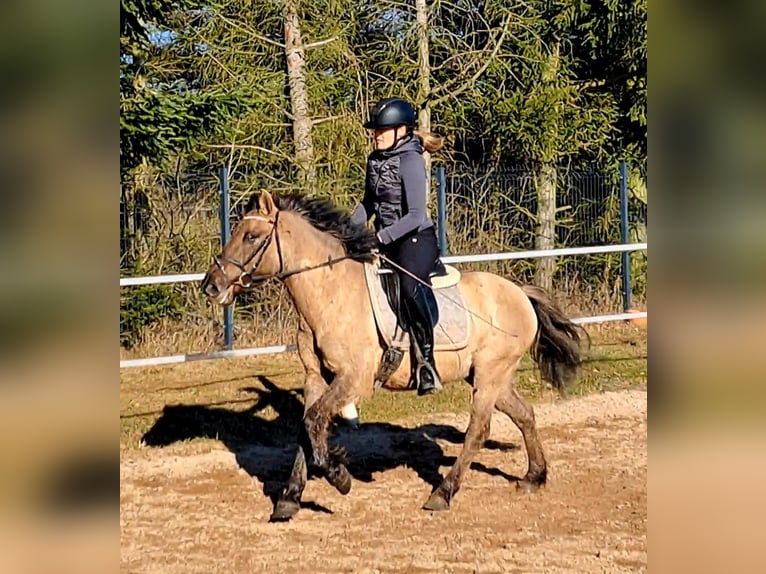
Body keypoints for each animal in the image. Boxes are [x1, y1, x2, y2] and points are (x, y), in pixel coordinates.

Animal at [201, 190, 585, 522]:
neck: (330, 293)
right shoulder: (316, 378)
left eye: (251, 236)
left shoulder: (355, 379)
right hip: (490, 376)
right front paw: (289, 499)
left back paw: (443, 493)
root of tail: (520, 293)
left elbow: (314, 423)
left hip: (491, 375)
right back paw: (534, 477)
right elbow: (306, 429)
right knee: (524, 414)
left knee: (478, 430)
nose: (211, 286)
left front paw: (338, 475)